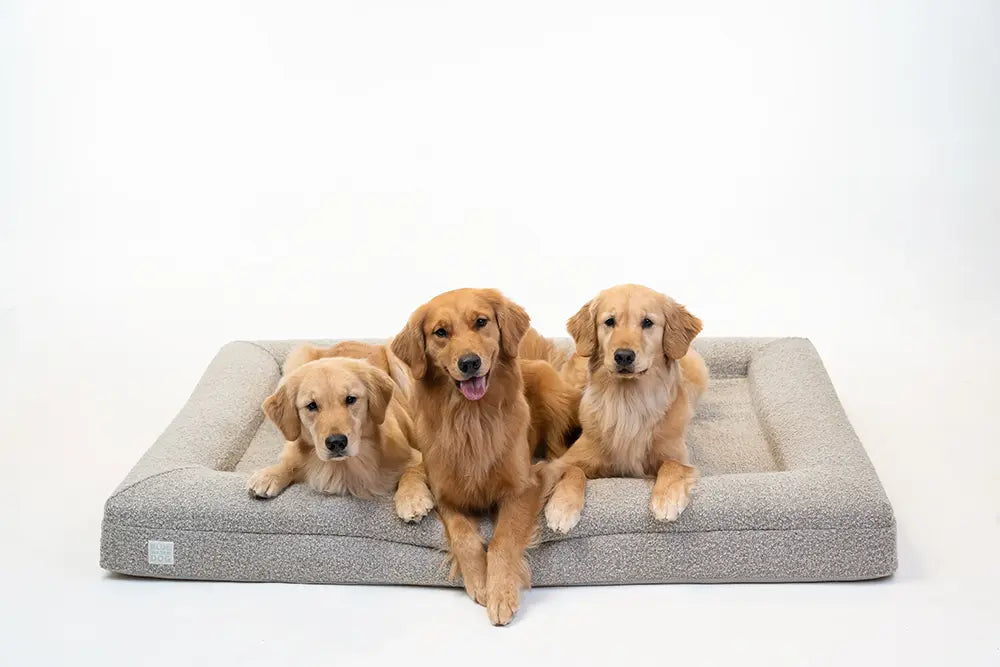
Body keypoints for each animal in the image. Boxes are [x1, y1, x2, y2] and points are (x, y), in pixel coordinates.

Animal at [248, 348, 432, 524]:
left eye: (350, 399)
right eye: (311, 405)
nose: (336, 442)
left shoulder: (418, 456)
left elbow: (411, 472)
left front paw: (412, 499)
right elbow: (291, 460)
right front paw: (270, 475)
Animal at [544, 284, 708, 536]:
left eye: (648, 322)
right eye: (609, 321)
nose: (623, 356)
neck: (628, 402)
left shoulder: (679, 456)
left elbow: (672, 466)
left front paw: (667, 499)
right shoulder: (569, 459)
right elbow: (573, 471)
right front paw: (561, 508)